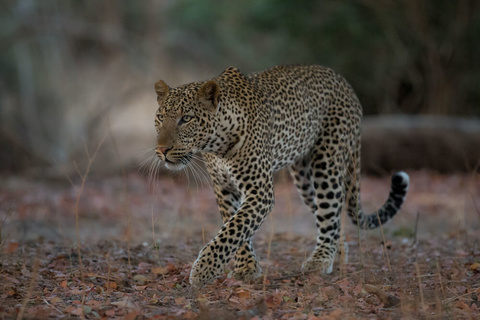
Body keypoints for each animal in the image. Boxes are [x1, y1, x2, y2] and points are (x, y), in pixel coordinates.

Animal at [153, 63, 408, 286]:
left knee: (330, 211)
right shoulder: (224, 189)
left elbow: (235, 228)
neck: (217, 145)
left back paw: (321, 259)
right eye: (160, 118)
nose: (161, 150)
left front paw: (204, 270)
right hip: (305, 179)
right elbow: (235, 226)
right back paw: (337, 254)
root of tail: (345, 83)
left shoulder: (260, 191)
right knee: (333, 214)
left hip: (326, 162)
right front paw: (246, 267)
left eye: (186, 118)